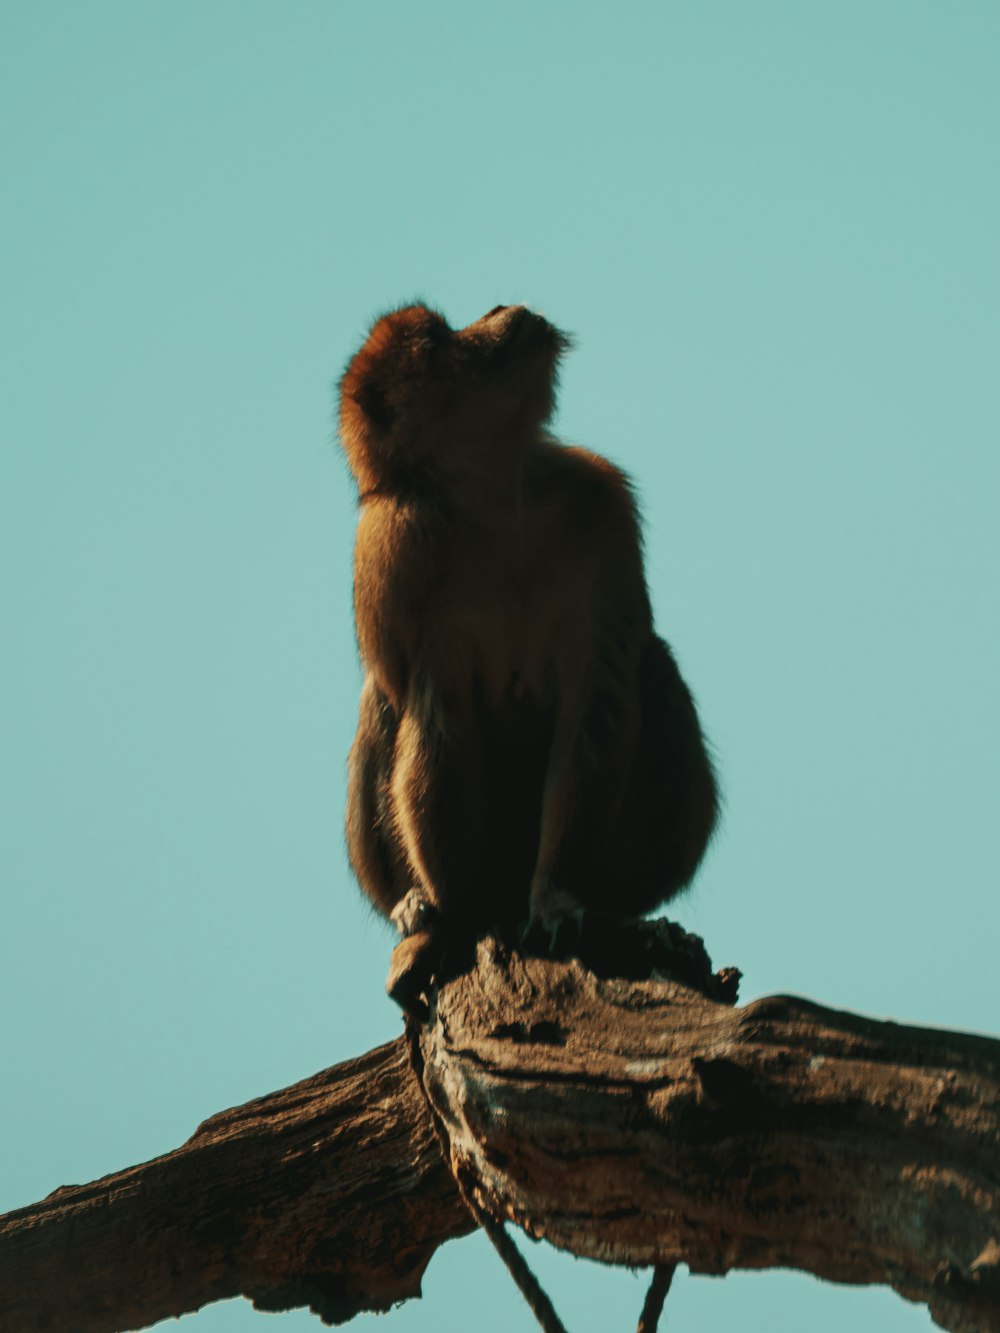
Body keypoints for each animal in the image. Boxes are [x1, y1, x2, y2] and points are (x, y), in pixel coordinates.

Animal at [338, 305, 720, 1007]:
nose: (500, 313)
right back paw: (421, 904)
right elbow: (432, 706)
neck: (489, 495)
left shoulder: (600, 502)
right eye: (440, 339)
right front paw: (454, 918)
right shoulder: (390, 544)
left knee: (651, 666)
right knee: (385, 699)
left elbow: (596, 696)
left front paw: (556, 899)